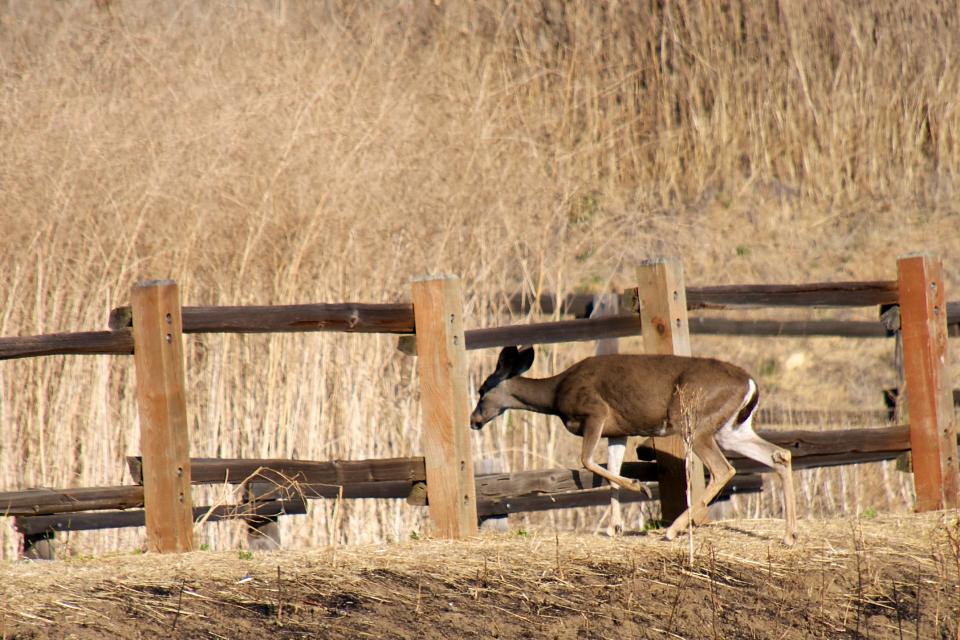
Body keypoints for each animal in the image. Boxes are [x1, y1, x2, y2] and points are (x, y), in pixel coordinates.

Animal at [468, 344, 800, 544]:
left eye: (483, 389)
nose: (473, 420)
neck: (556, 393)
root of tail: (751, 384)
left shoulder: (595, 412)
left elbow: (587, 461)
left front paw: (639, 487)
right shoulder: (618, 430)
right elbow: (610, 469)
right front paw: (614, 526)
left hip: (693, 421)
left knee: (722, 469)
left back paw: (673, 530)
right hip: (731, 428)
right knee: (779, 454)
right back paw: (789, 535)